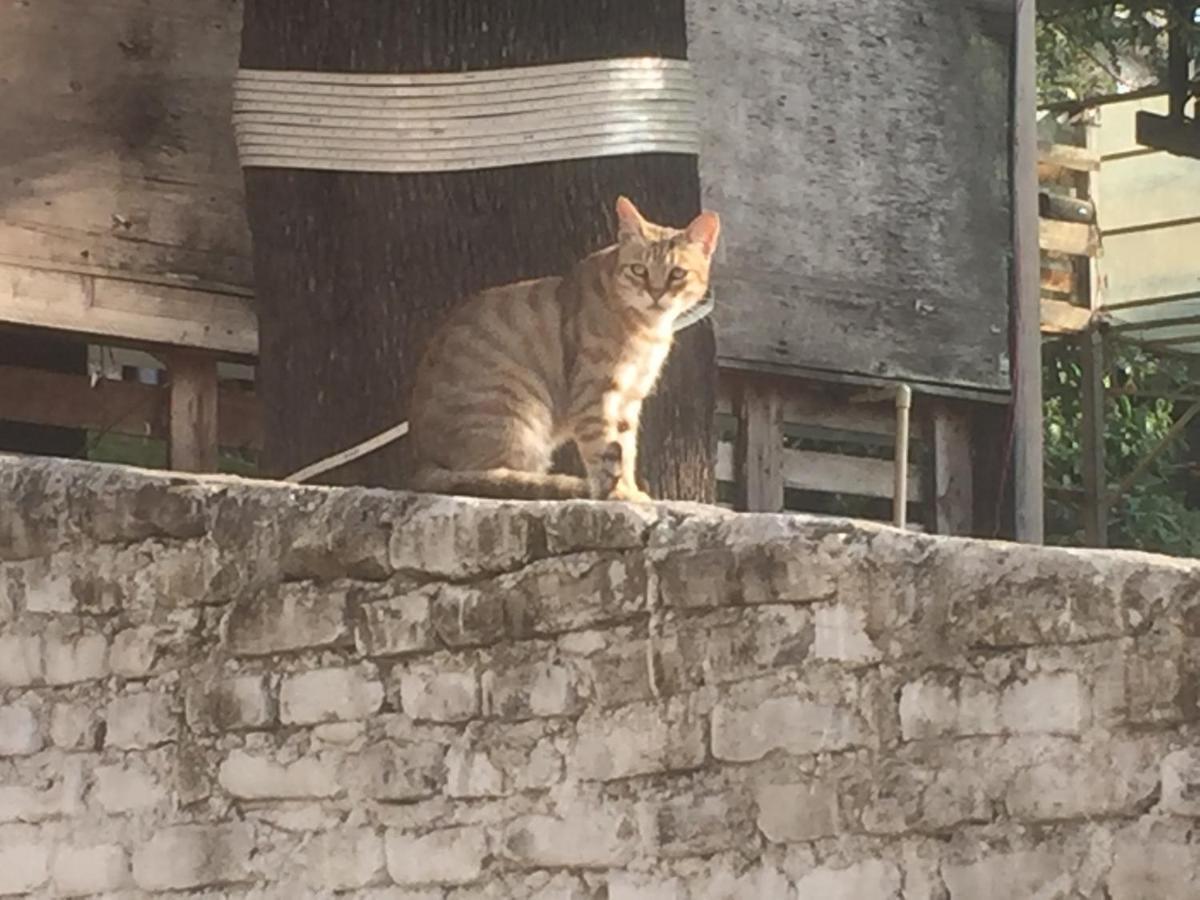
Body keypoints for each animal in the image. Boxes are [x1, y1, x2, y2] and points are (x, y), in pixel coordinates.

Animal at [403, 196, 720, 504]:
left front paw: (630, 489)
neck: (648, 328)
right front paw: (617, 493)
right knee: (489, 476)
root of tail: (421, 461)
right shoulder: (596, 394)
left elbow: (627, 452)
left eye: (677, 274)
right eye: (639, 270)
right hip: (517, 412)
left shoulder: (629, 399)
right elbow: (603, 449)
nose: (655, 293)